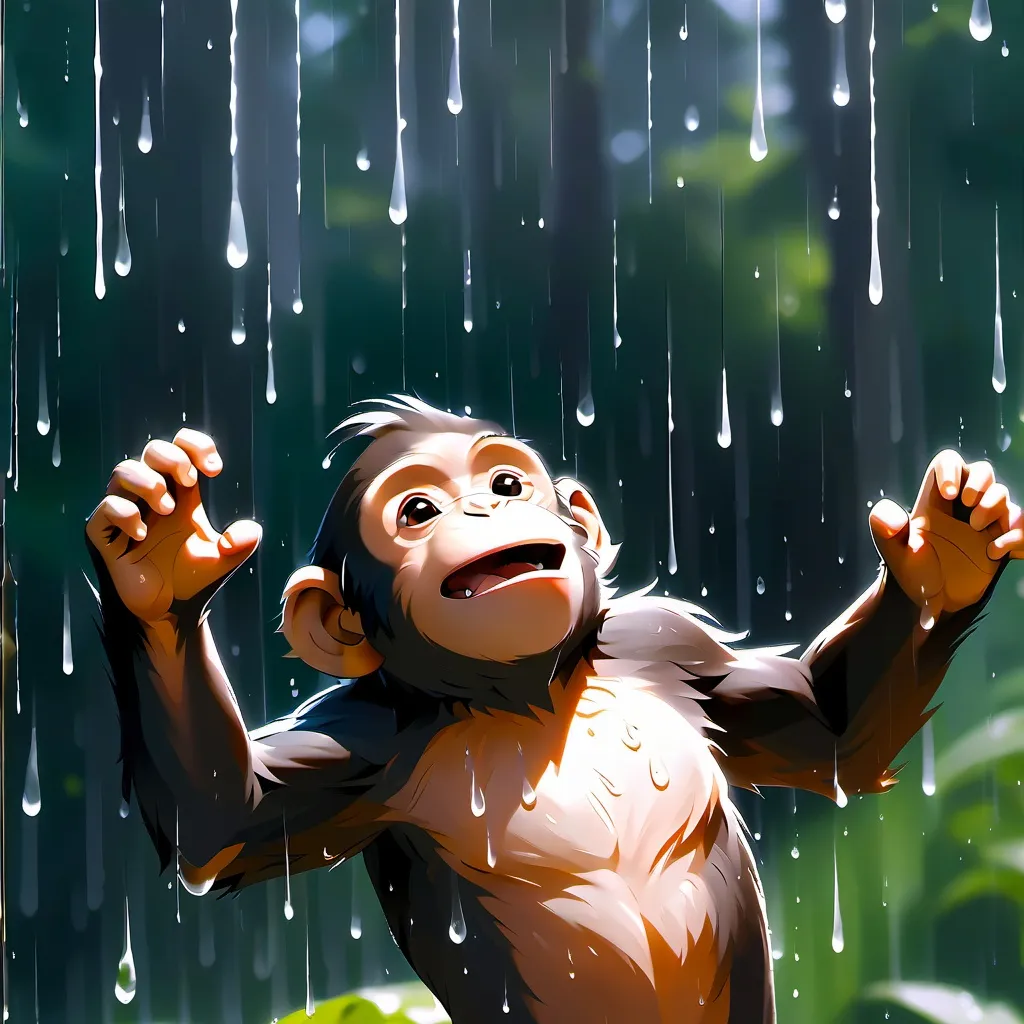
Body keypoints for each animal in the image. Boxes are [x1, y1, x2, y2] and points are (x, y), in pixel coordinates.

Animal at [84, 395, 1024, 1024]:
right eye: (417, 510)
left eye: (507, 481)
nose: (483, 506)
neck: (532, 694)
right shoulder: (365, 738)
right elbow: (222, 820)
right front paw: (155, 565)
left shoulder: (671, 644)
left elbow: (832, 736)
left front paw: (946, 555)